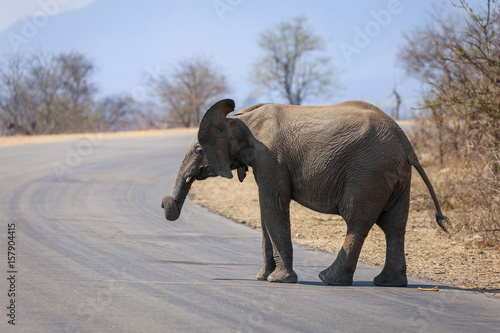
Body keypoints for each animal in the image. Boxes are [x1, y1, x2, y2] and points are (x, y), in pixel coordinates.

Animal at [161, 98, 450, 286]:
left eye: (199, 150)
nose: (166, 204)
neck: (242, 117)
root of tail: (406, 142)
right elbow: (265, 214)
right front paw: (262, 278)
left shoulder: (271, 158)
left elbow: (273, 206)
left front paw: (279, 280)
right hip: (396, 174)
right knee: (394, 225)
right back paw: (388, 283)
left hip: (369, 172)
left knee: (358, 220)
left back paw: (329, 279)